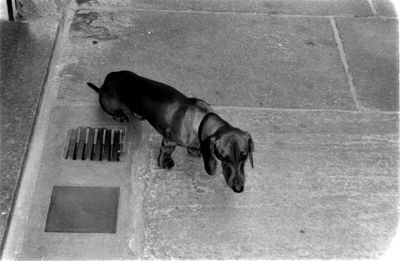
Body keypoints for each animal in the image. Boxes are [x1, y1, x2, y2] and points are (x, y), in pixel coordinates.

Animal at [88, 70, 255, 192]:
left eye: (244, 156)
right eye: (223, 158)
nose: (239, 188)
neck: (200, 120)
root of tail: (106, 81)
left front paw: (194, 151)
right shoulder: (169, 140)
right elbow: (167, 152)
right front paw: (166, 163)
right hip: (109, 105)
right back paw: (120, 115)